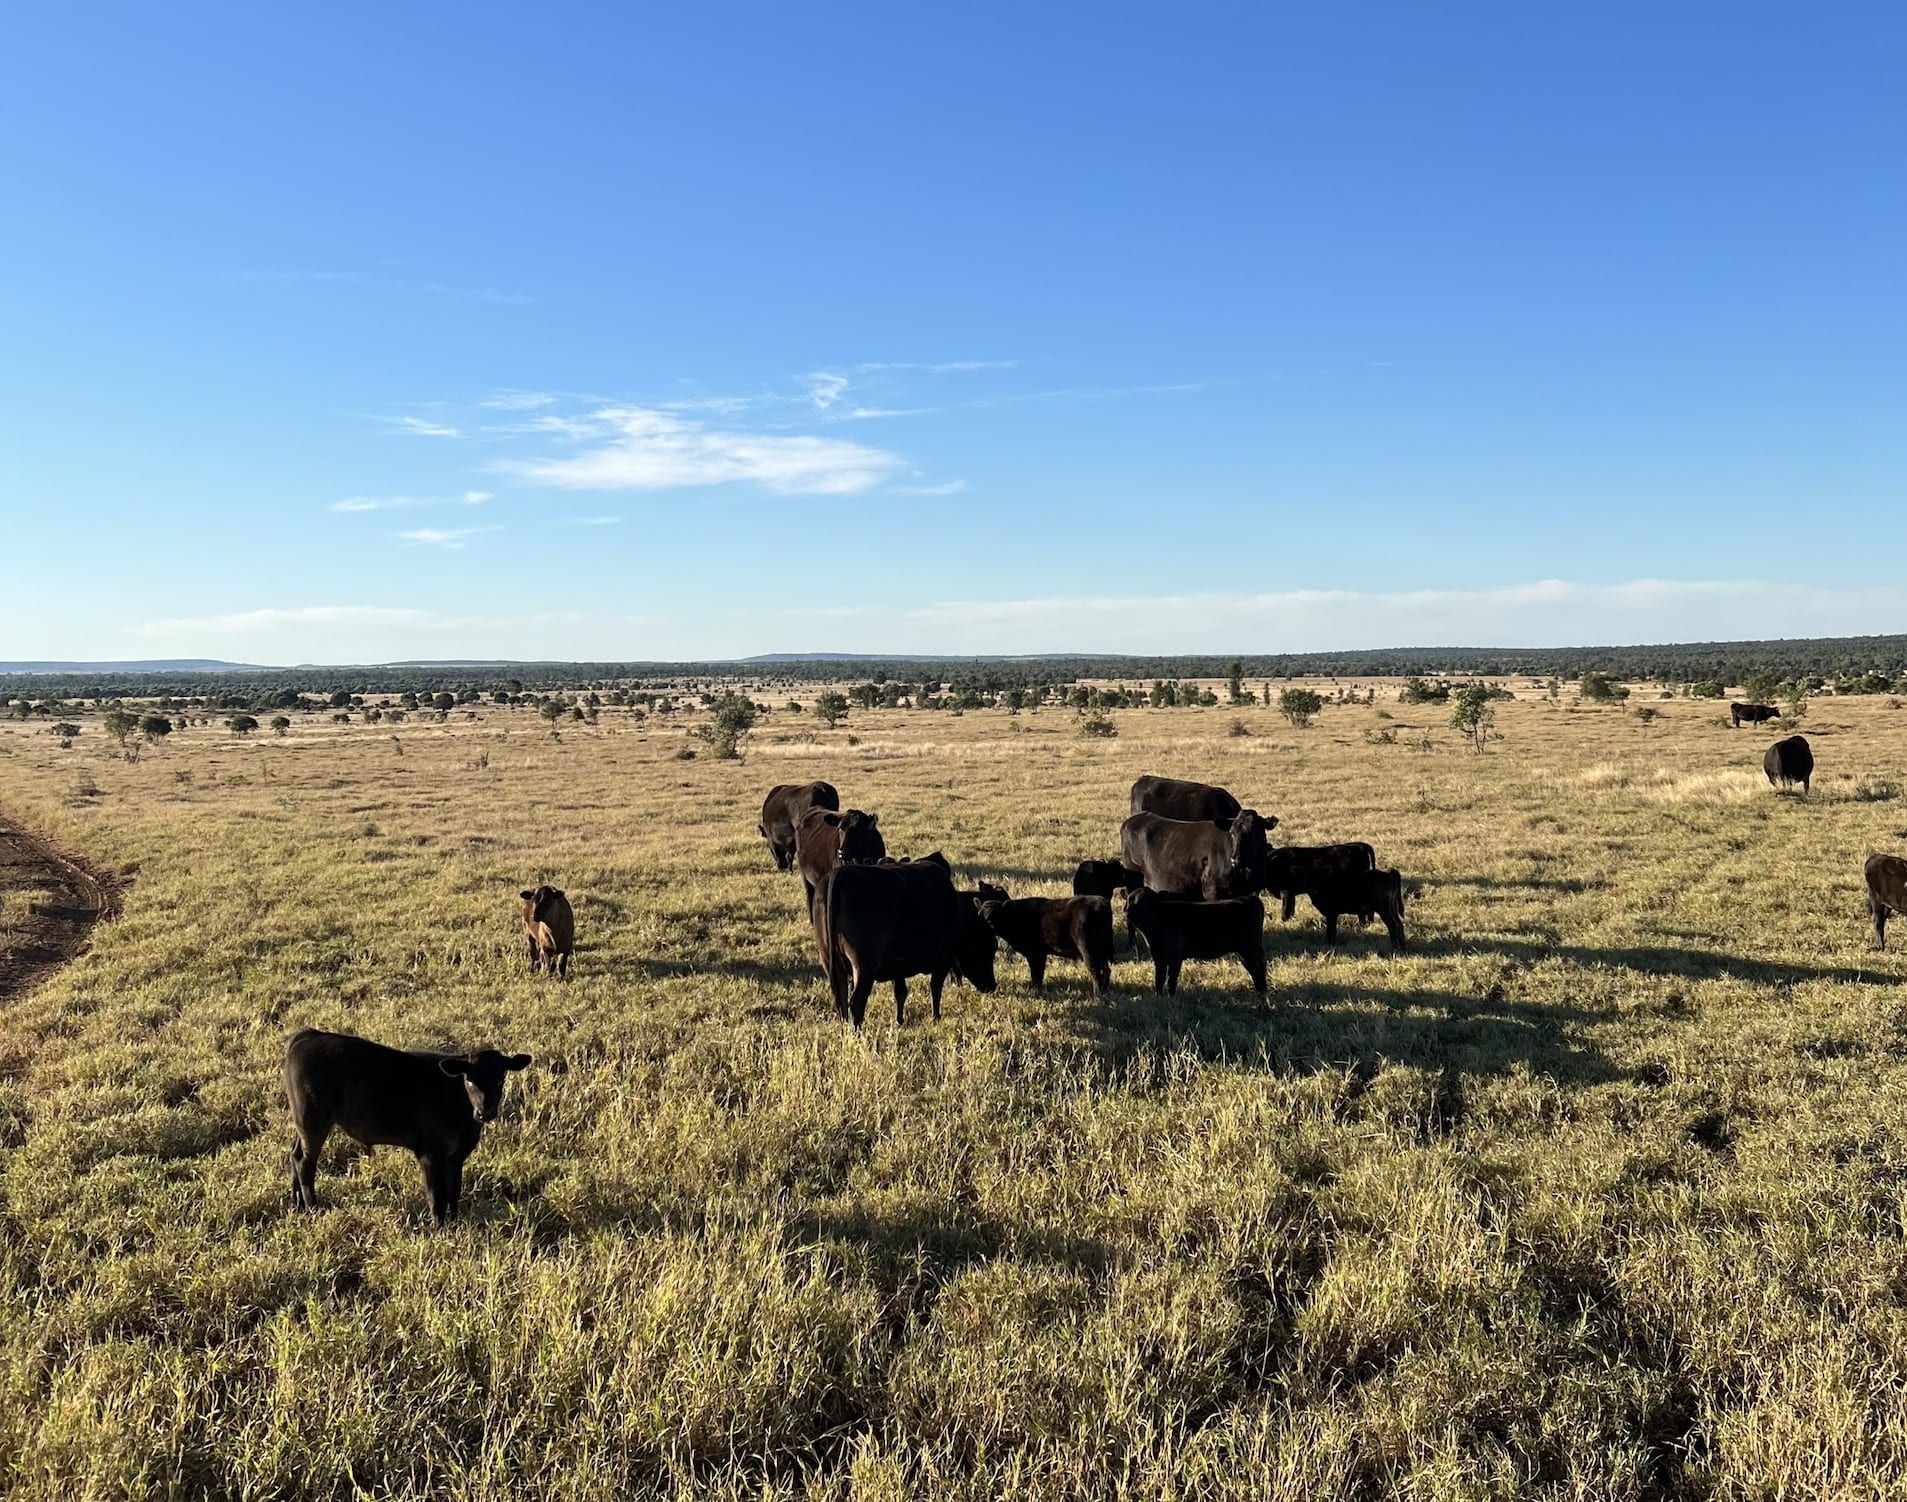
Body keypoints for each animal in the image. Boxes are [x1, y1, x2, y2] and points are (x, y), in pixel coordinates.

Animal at [284, 1028, 532, 1223]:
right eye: (469, 1080)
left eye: (500, 1079)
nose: (485, 1112)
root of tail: (310, 1035)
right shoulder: (430, 1153)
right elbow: (437, 1197)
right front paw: (440, 1230)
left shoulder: (457, 1156)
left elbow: (454, 1193)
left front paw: (454, 1224)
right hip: (313, 1120)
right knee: (306, 1162)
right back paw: (313, 1207)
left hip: (304, 1123)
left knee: (295, 1155)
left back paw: (297, 1204)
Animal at [811, 857, 997, 1027]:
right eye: (989, 947)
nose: (992, 986)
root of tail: (840, 873)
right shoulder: (943, 960)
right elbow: (935, 988)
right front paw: (936, 1017)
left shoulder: (897, 966)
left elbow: (900, 993)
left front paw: (899, 1020)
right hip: (864, 965)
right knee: (856, 1001)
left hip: (830, 961)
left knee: (840, 998)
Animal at [979, 895, 1115, 994]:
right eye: (982, 913)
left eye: (995, 913)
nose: (989, 921)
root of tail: (1102, 902)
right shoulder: (1041, 954)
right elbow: (1039, 974)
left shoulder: (1034, 954)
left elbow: (1036, 973)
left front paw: (1035, 991)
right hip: (1101, 950)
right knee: (1106, 969)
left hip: (1087, 949)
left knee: (1096, 971)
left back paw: (1097, 994)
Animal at [1126, 889, 1267, 995]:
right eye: (1131, 900)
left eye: (1147, 900)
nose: (1129, 912)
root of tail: (1249, 898)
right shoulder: (1158, 957)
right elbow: (1159, 979)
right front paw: (1159, 997)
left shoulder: (1175, 957)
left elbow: (1171, 980)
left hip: (1249, 950)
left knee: (1257, 969)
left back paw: (1261, 993)